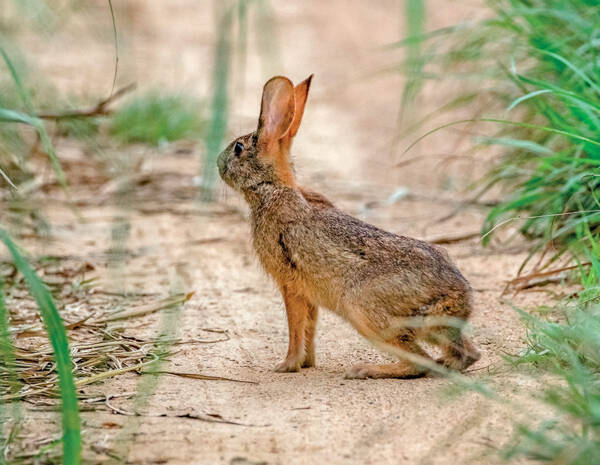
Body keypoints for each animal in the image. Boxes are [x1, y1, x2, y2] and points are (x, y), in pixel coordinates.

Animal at [218, 75, 480, 376]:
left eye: (238, 148)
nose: (219, 163)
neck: (272, 188)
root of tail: (458, 299)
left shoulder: (290, 285)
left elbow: (296, 327)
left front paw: (286, 365)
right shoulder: (309, 294)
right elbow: (309, 327)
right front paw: (307, 363)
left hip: (363, 309)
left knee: (418, 363)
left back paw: (366, 369)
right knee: (465, 354)